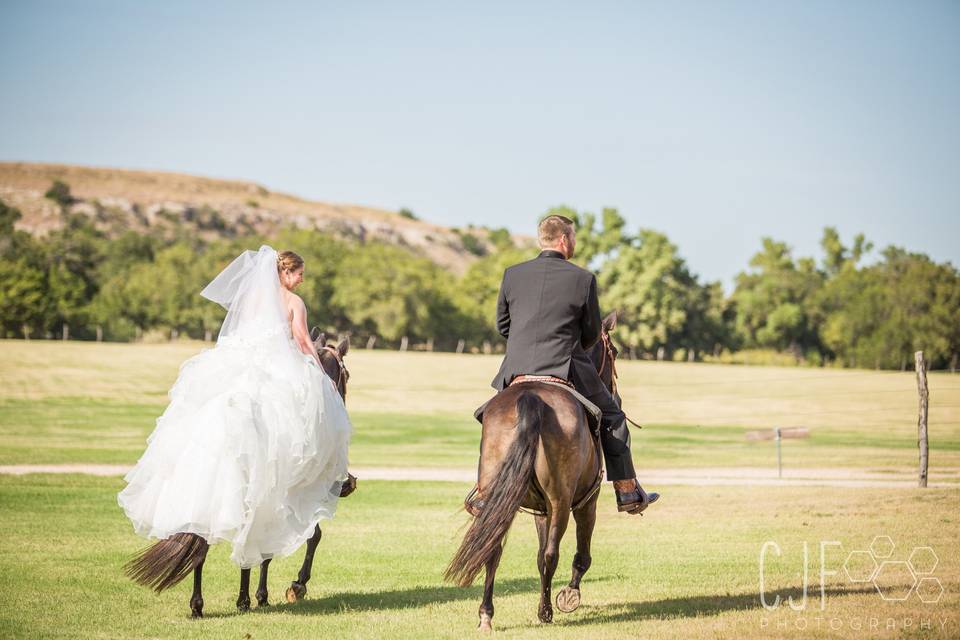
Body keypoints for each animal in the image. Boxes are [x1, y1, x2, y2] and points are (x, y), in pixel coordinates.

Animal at [124, 332, 352, 616]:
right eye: (347, 375)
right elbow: (309, 537)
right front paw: (292, 587)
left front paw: (260, 595)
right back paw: (235, 600)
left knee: (203, 544)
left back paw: (200, 605)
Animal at [444, 312, 624, 632]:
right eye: (613, 352)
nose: (616, 395)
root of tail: (532, 399)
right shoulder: (586, 501)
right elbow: (580, 556)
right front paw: (569, 596)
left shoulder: (541, 511)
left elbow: (538, 555)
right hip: (561, 502)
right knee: (553, 554)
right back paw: (545, 612)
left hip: (500, 497)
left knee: (493, 548)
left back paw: (486, 615)